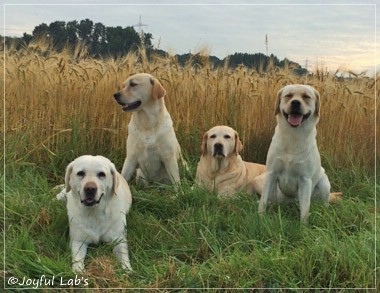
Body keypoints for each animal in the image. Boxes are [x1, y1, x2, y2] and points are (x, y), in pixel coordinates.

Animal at [258, 85, 342, 222]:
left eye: (306, 96)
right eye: (288, 95)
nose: (296, 103)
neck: (293, 136)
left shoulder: (305, 180)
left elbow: (305, 209)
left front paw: (303, 226)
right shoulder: (271, 173)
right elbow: (262, 201)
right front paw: (260, 218)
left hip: (324, 182)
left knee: (324, 202)